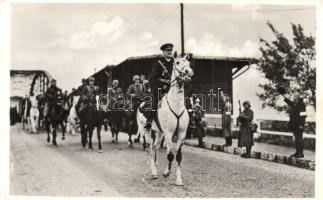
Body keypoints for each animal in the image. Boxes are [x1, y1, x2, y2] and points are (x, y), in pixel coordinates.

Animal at [137, 53, 194, 186]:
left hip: (158, 133)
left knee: (155, 147)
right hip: (147, 131)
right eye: (177, 62)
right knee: (149, 148)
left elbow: (178, 156)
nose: (189, 72)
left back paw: (156, 168)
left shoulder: (181, 134)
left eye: (188, 63)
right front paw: (167, 173)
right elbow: (170, 155)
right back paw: (153, 172)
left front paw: (178, 179)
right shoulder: (168, 133)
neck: (176, 106)